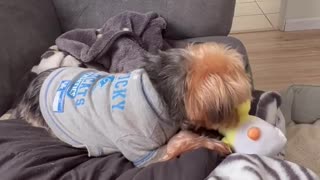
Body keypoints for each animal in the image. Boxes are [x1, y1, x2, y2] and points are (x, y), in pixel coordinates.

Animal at [11, 43, 252, 167]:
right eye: (234, 106)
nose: (239, 121)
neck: (159, 91)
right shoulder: (145, 151)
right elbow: (182, 140)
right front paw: (215, 145)